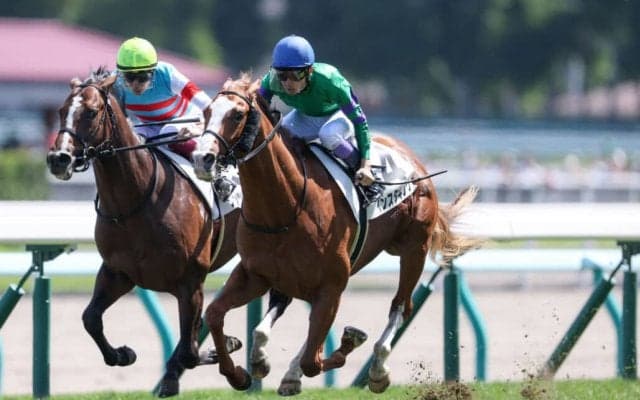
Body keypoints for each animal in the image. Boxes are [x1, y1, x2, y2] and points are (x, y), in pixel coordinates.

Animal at [46, 67, 243, 397]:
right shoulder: (118, 272)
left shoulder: (190, 280)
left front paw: (225, 346)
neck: (135, 201)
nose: (59, 158)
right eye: (61, 110)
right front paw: (122, 354)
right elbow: (90, 318)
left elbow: (189, 349)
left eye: (92, 111)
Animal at [191, 74, 483, 395]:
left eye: (237, 114)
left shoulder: (331, 284)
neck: (285, 206)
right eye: (206, 112)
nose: (202, 159)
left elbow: (314, 360)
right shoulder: (255, 274)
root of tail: (414, 161)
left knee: (400, 306)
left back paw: (377, 370)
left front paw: (351, 341)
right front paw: (238, 374)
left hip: (412, 250)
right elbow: (214, 314)